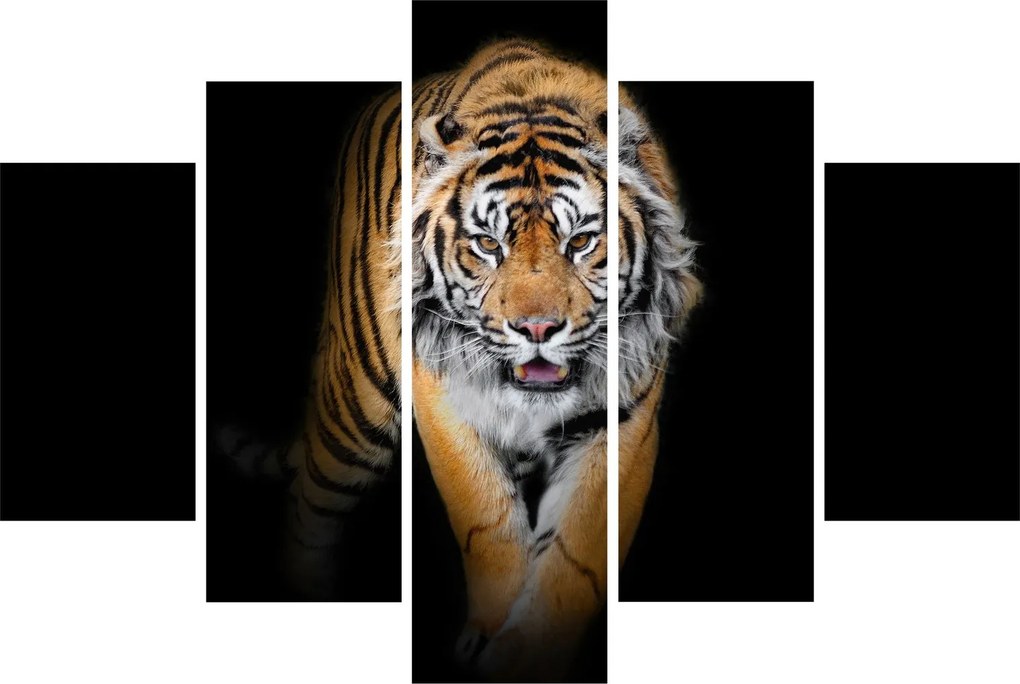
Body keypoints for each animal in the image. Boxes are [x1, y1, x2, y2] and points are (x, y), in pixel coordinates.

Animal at [411, 40, 700, 680]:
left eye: (582, 242)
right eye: (488, 244)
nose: (537, 328)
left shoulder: (623, 417)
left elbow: (576, 553)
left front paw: (523, 655)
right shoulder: (440, 391)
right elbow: (486, 518)